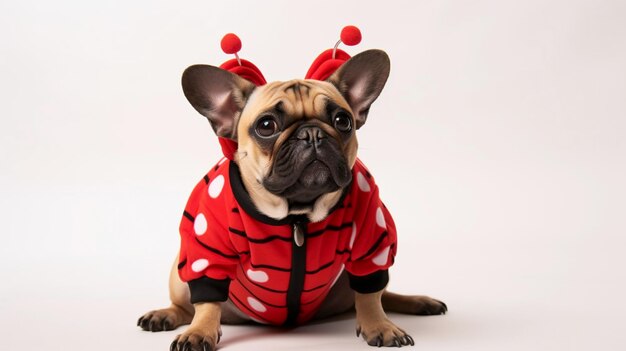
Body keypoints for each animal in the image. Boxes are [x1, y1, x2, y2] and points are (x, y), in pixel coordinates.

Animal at [139, 49, 446, 351]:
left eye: (343, 121)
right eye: (266, 126)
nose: (312, 133)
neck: (297, 212)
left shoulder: (371, 243)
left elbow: (370, 295)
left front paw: (380, 326)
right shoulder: (206, 251)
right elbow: (206, 301)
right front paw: (199, 332)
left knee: (378, 294)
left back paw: (418, 301)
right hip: (179, 276)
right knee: (186, 306)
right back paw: (164, 315)